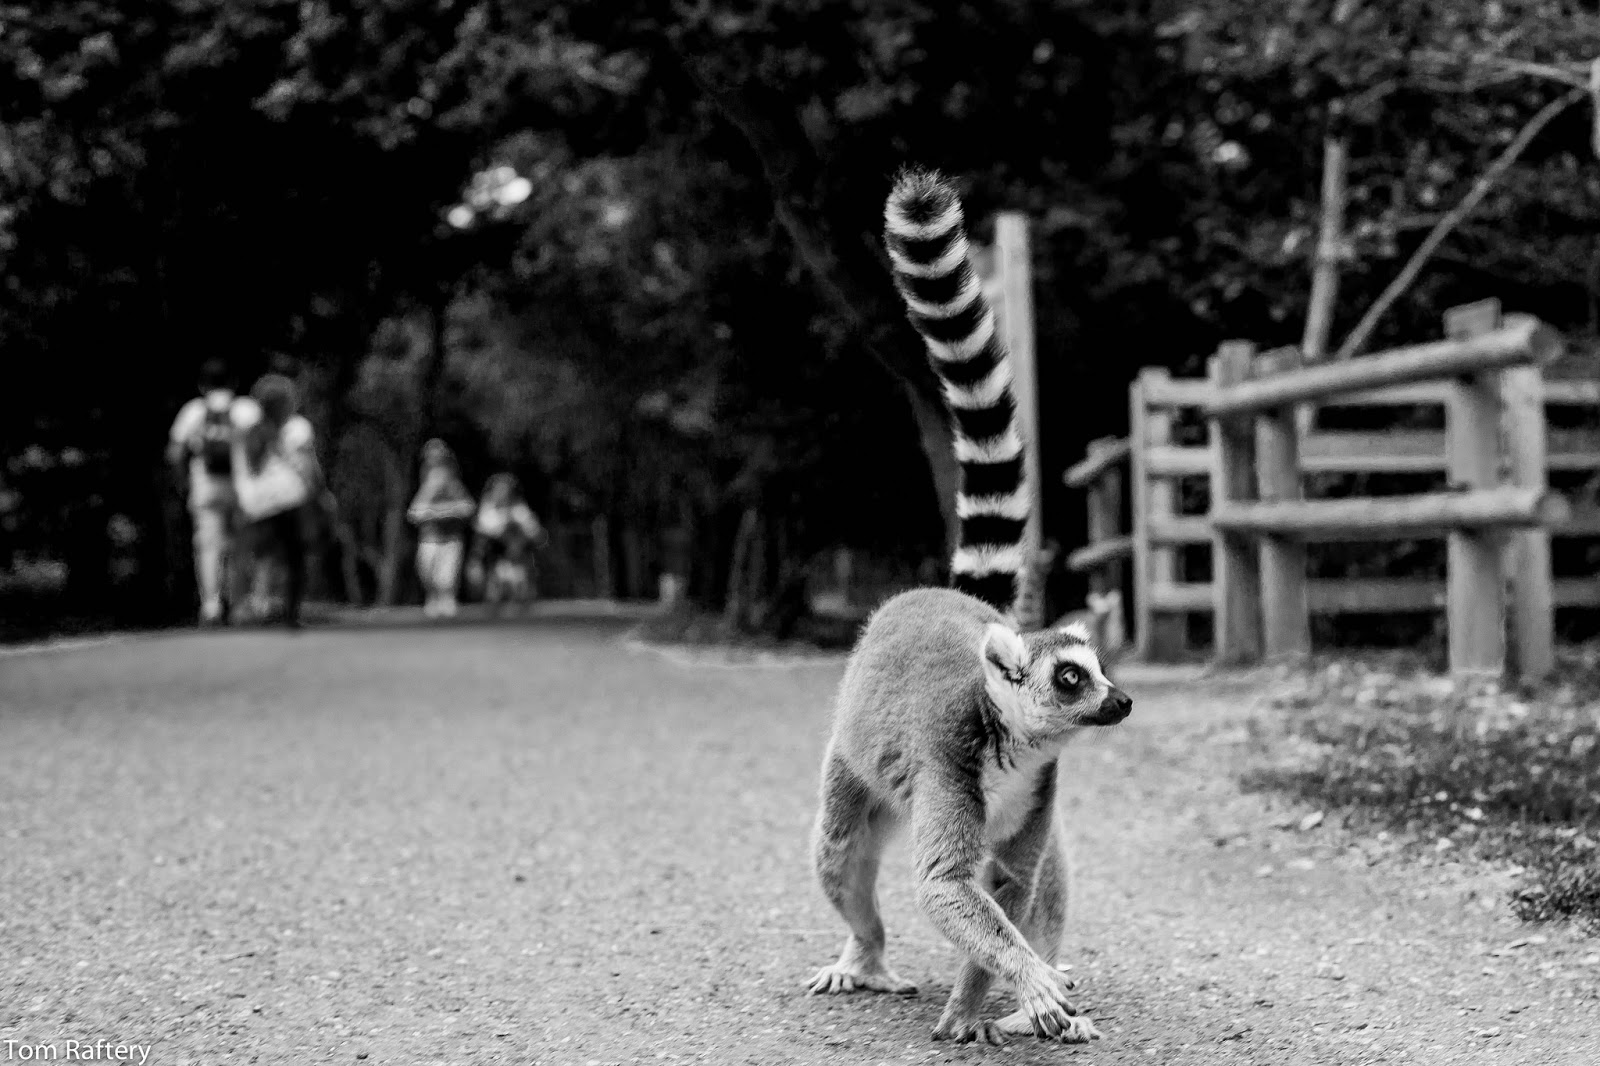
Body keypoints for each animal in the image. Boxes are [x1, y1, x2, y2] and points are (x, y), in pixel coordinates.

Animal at [805, 168, 1132, 1046]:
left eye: (1100, 669)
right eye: (1069, 678)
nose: (1122, 701)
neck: (1014, 752)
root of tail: (933, 596)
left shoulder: (1039, 792)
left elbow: (1010, 886)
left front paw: (997, 1000)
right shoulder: (948, 762)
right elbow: (951, 887)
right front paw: (1006, 994)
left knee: (1048, 870)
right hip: (857, 772)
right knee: (840, 853)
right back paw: (865, 954)